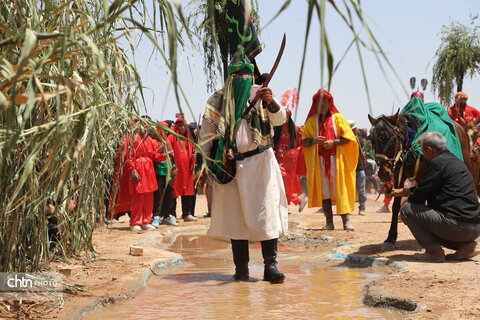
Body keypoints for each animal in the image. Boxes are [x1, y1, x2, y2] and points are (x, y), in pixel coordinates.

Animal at [368, 110, 472, 250]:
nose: (383, 173)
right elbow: (396, 205)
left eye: (393, 140)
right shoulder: (399, 174)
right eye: (373, 140)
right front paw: (390, 238)